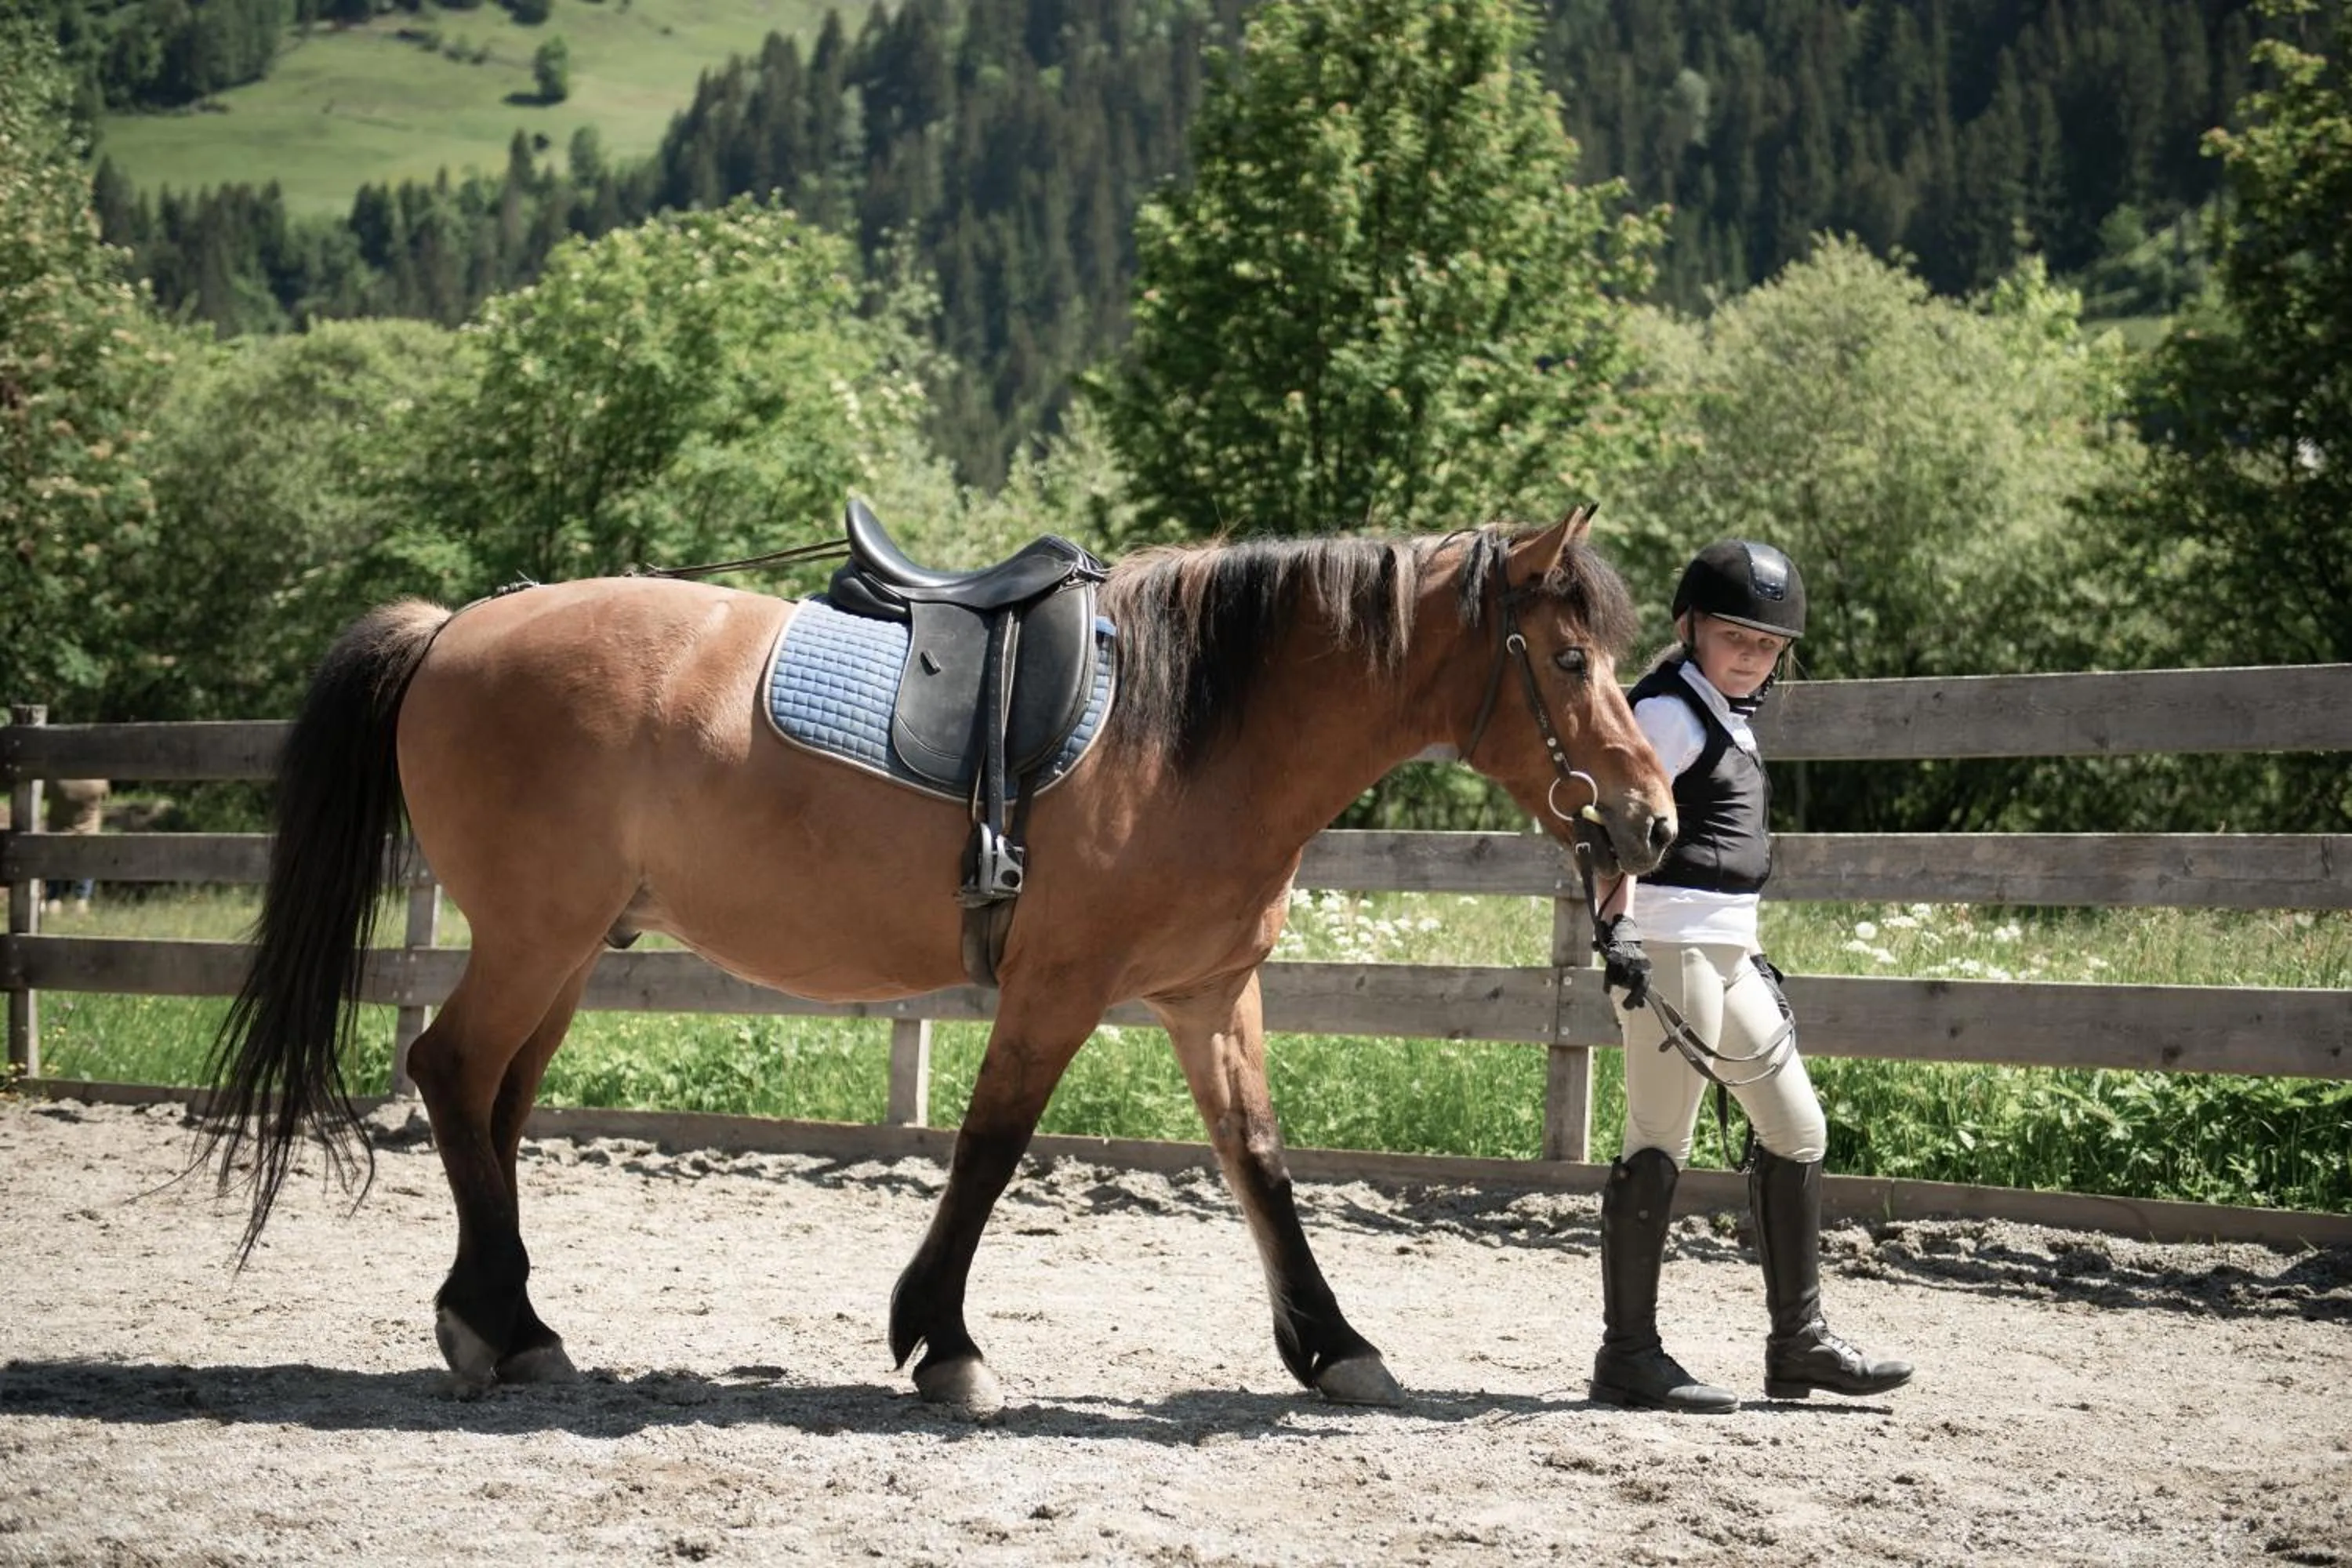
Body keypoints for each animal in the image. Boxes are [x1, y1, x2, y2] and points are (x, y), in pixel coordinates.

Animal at [199, 508, 1676, 1416]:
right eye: (1566, 658)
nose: (1651, 819)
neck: (1188, 725)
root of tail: (456, 627)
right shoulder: (1058, 988)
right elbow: (989, 1149)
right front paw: (944, 1342)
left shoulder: (1208, 996)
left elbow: (1258, 1160)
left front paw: (1335, 1347)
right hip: (535, 937)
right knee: (452, 1072)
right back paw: (487, 1320)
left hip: (564, 951)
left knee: (496, 1102)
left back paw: (514, 1323)